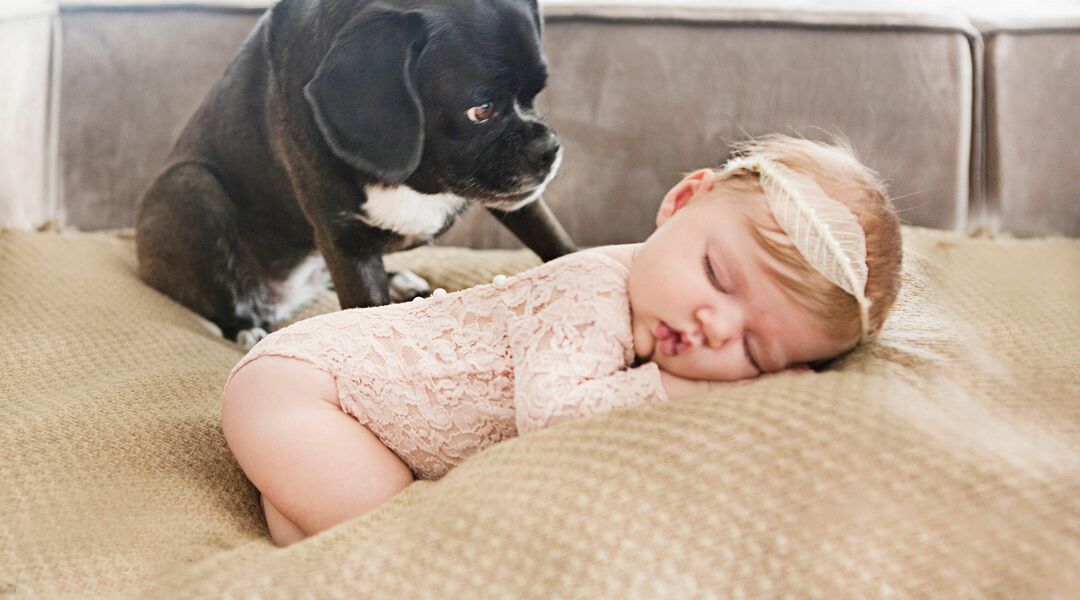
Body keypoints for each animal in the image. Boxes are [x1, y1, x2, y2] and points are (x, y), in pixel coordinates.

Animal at [135, 0, 574, 347]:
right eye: (480, 110)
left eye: (536, 94)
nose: (550, 148)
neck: (414, 177)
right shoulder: (346, 245)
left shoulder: (523, 202)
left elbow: (555, 239)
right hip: (190, 188)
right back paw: (247, 330)